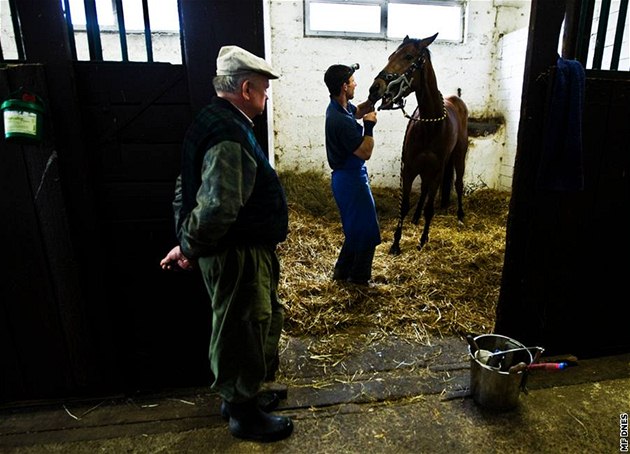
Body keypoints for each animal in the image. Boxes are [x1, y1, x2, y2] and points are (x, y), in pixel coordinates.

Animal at [366, 33, 470, 255]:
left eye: (408, 56)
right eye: (390, 56)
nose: (375, 88)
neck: (431, 124)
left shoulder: (437, 171)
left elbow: (430, 208)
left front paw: (423, 240)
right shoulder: (410, 167)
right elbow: (404, 205)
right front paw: (396, 243)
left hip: (458, 156)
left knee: (458, 184)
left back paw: (460, 216)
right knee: (423, 189)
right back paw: (415, 217)